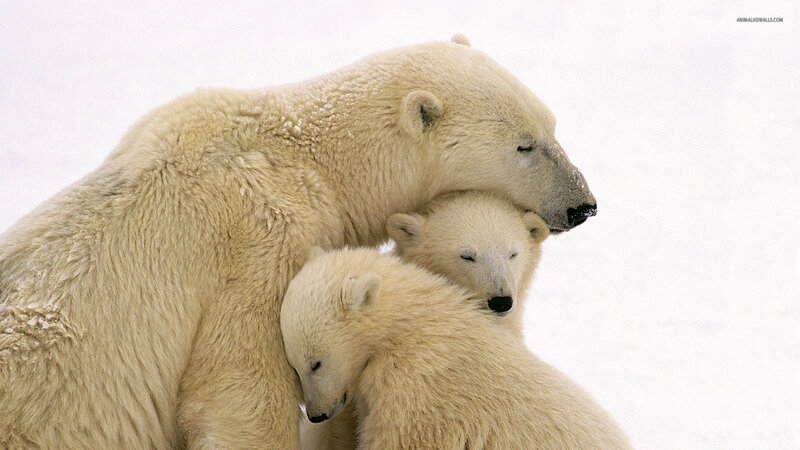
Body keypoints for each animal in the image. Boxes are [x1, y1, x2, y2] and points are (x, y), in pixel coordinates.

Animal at [281, 247, 631, 450]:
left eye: (315, 363)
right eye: (294, 366)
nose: (316, 414)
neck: (408, 327)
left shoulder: (416, 390)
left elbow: (403, 441)